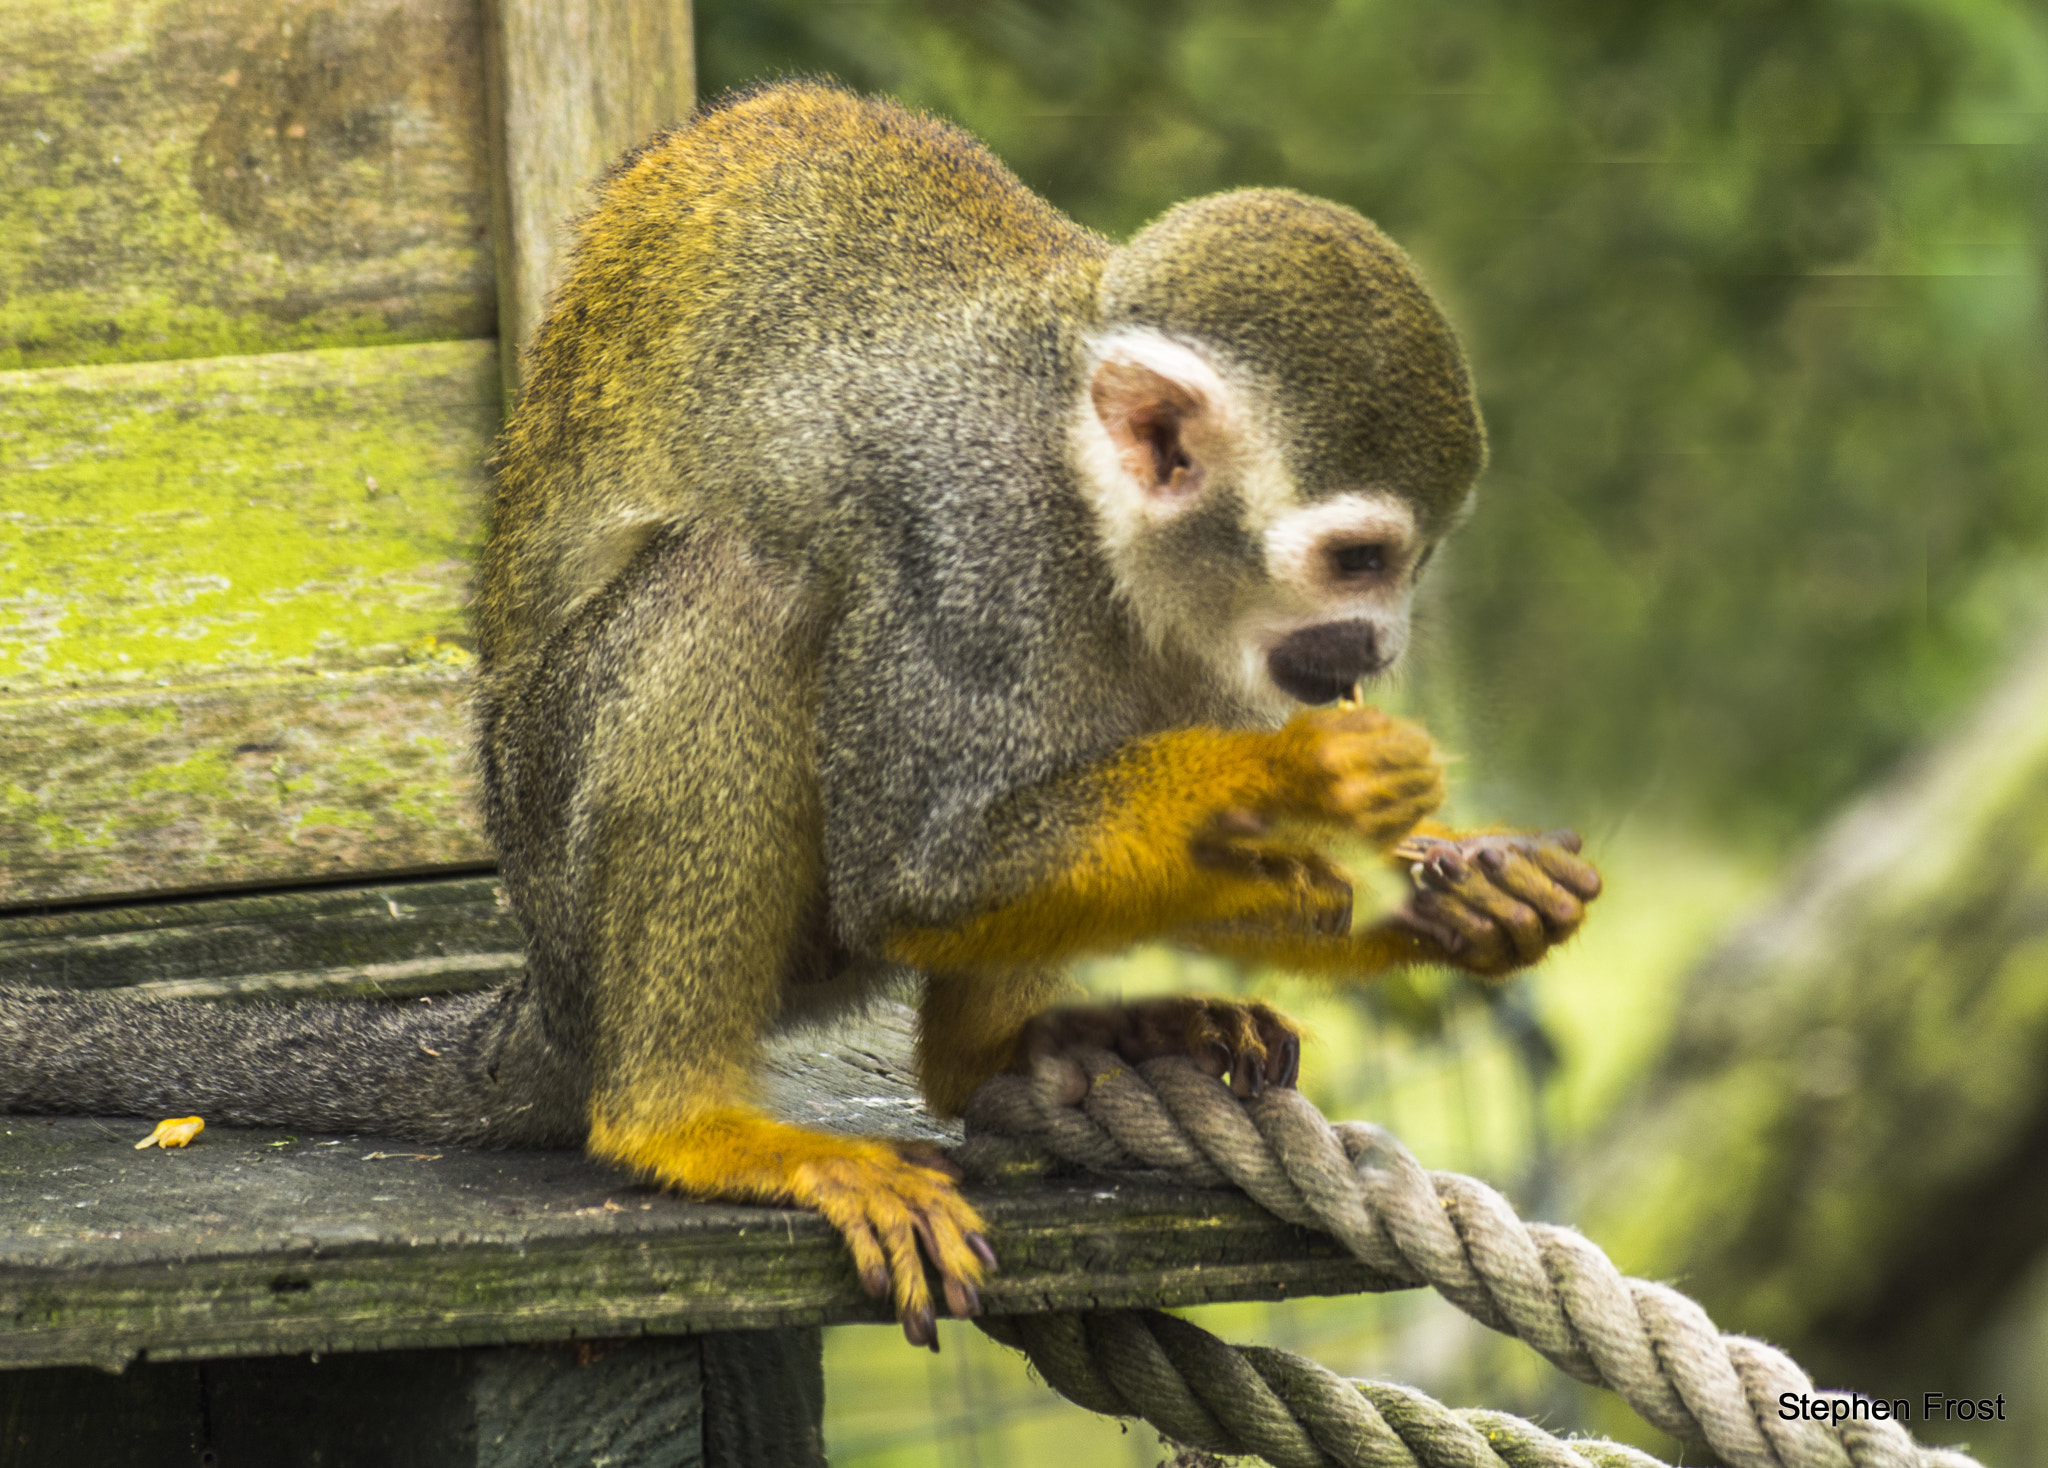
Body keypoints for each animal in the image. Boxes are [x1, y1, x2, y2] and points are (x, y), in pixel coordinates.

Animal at [1, 81, 1601, 1349]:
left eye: (1407, 567)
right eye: (1358, 560)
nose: (1376, 646)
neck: (1096, 517)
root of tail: (547, 989)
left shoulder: (1219, 643)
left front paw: (1453, 886)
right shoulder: (968, 543)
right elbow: (918, 868)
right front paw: (1319, 783)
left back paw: (995, 1056)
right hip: (613, 866)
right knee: (743, 586)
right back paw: (685, 1122)